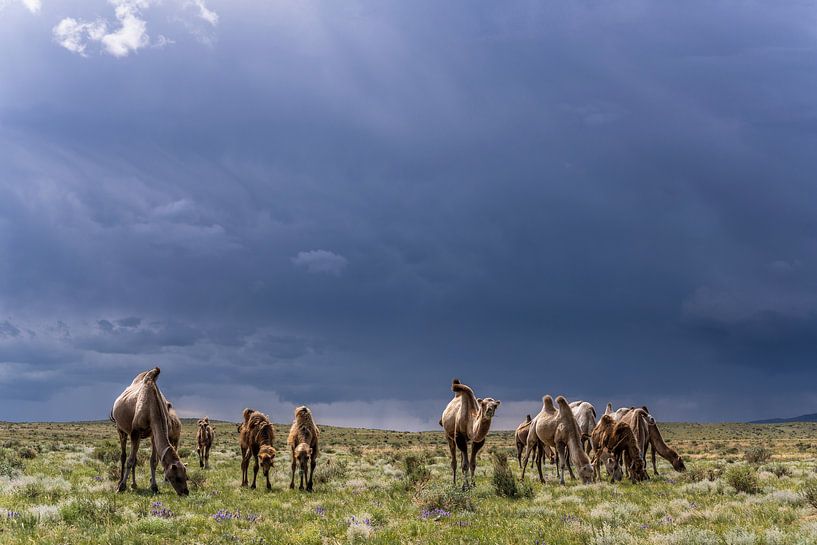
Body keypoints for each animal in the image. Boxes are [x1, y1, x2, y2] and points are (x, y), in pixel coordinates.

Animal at [111, 368, 189, 496]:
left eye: (186, 477)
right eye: (176, 478)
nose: (185, 492)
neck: (151, 407)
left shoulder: (153, 434)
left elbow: (153, 461)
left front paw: (154, 487)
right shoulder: (135, 431)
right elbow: (130, 460)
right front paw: (121, 487)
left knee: (135, 457)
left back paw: (134, 484)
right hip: (120, 429)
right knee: (124, 456)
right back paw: (120, 482)